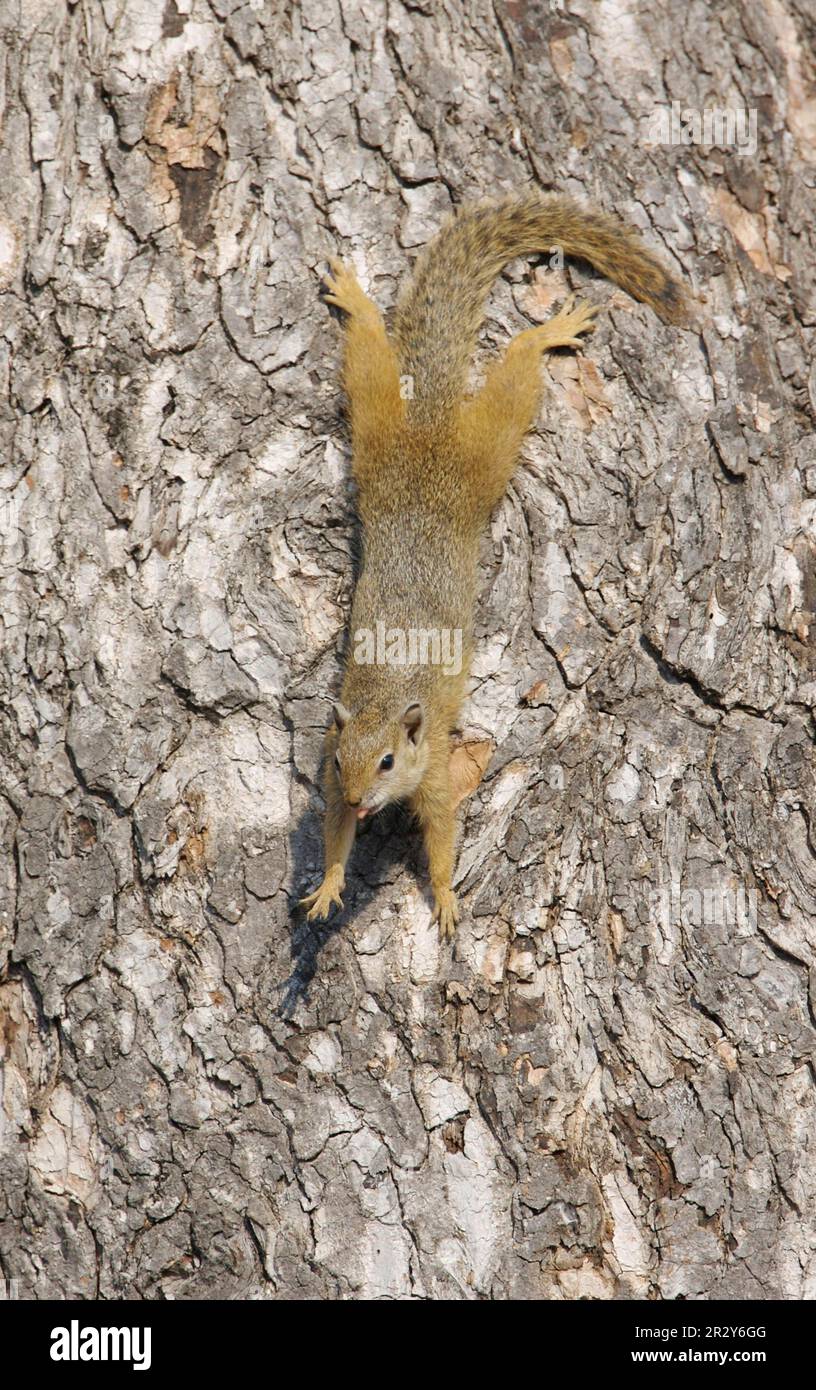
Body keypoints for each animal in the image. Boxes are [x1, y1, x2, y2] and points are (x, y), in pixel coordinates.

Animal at [297, 187, 686, 945]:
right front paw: (329, 883)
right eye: (339, 757)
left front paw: (447, 897)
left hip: (484, 453)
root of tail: (430, 432)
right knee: (371, 359)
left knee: (511, 379)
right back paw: (356, 301)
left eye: (389, 761)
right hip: (378, 438)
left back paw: (546, 333)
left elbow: (443, 833)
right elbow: (332, 833)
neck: (387, 701)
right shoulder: (332, 786)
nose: (362, 799)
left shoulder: (436, 774)